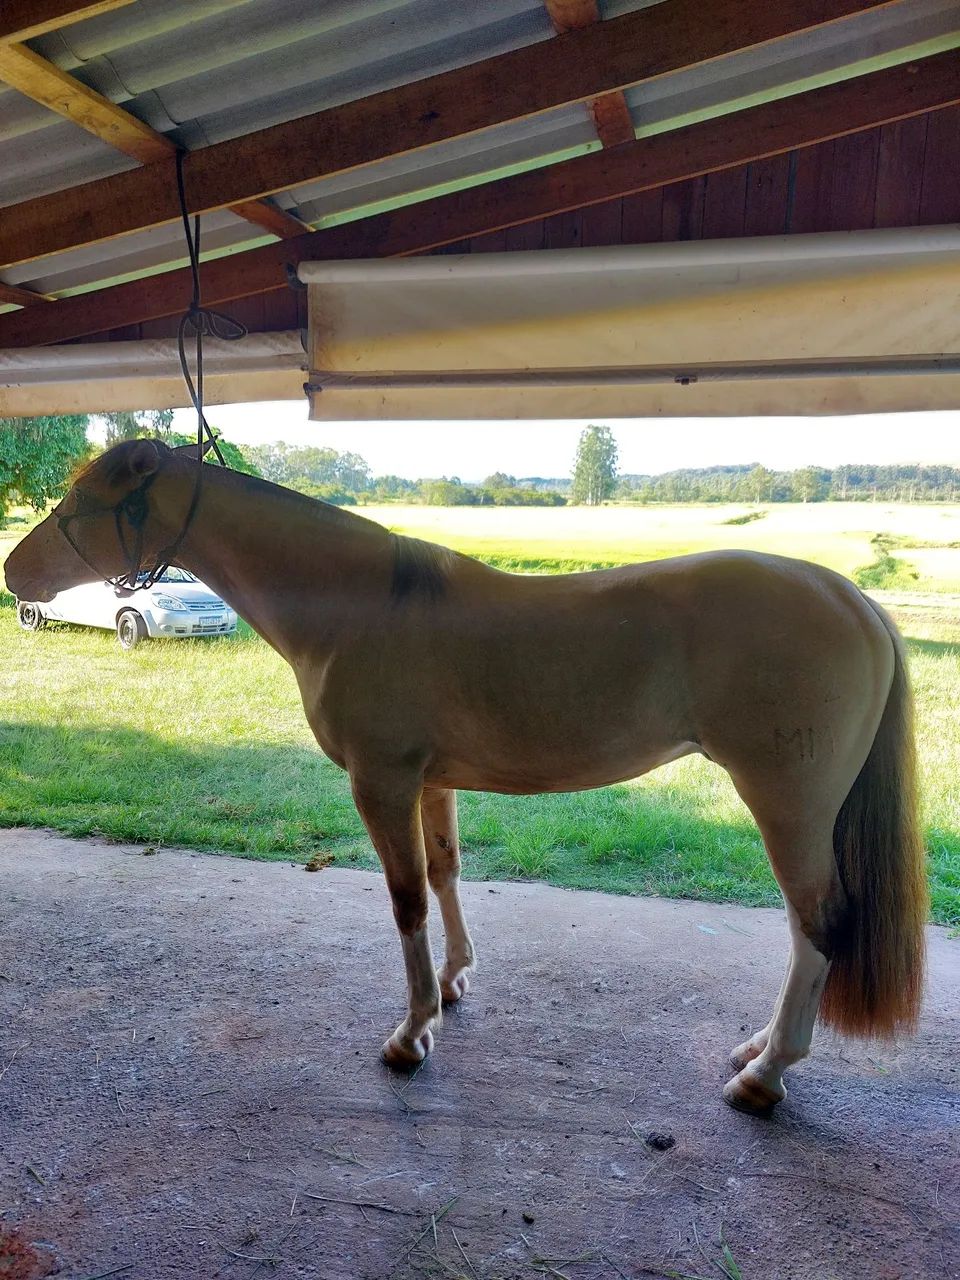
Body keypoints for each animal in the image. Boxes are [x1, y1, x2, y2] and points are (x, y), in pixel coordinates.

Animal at [4, 438, 927, 1114]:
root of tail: (855, 600)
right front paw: (452, 986)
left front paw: (411, 1036)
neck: (360, 607)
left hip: (787, 805)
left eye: (82, 502)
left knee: (817, 925)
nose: (15, 573)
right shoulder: (430, 781)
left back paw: (764, 1075)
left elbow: (407, 899)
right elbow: (446, 874)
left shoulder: (381, 781)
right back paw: (756, 1048)